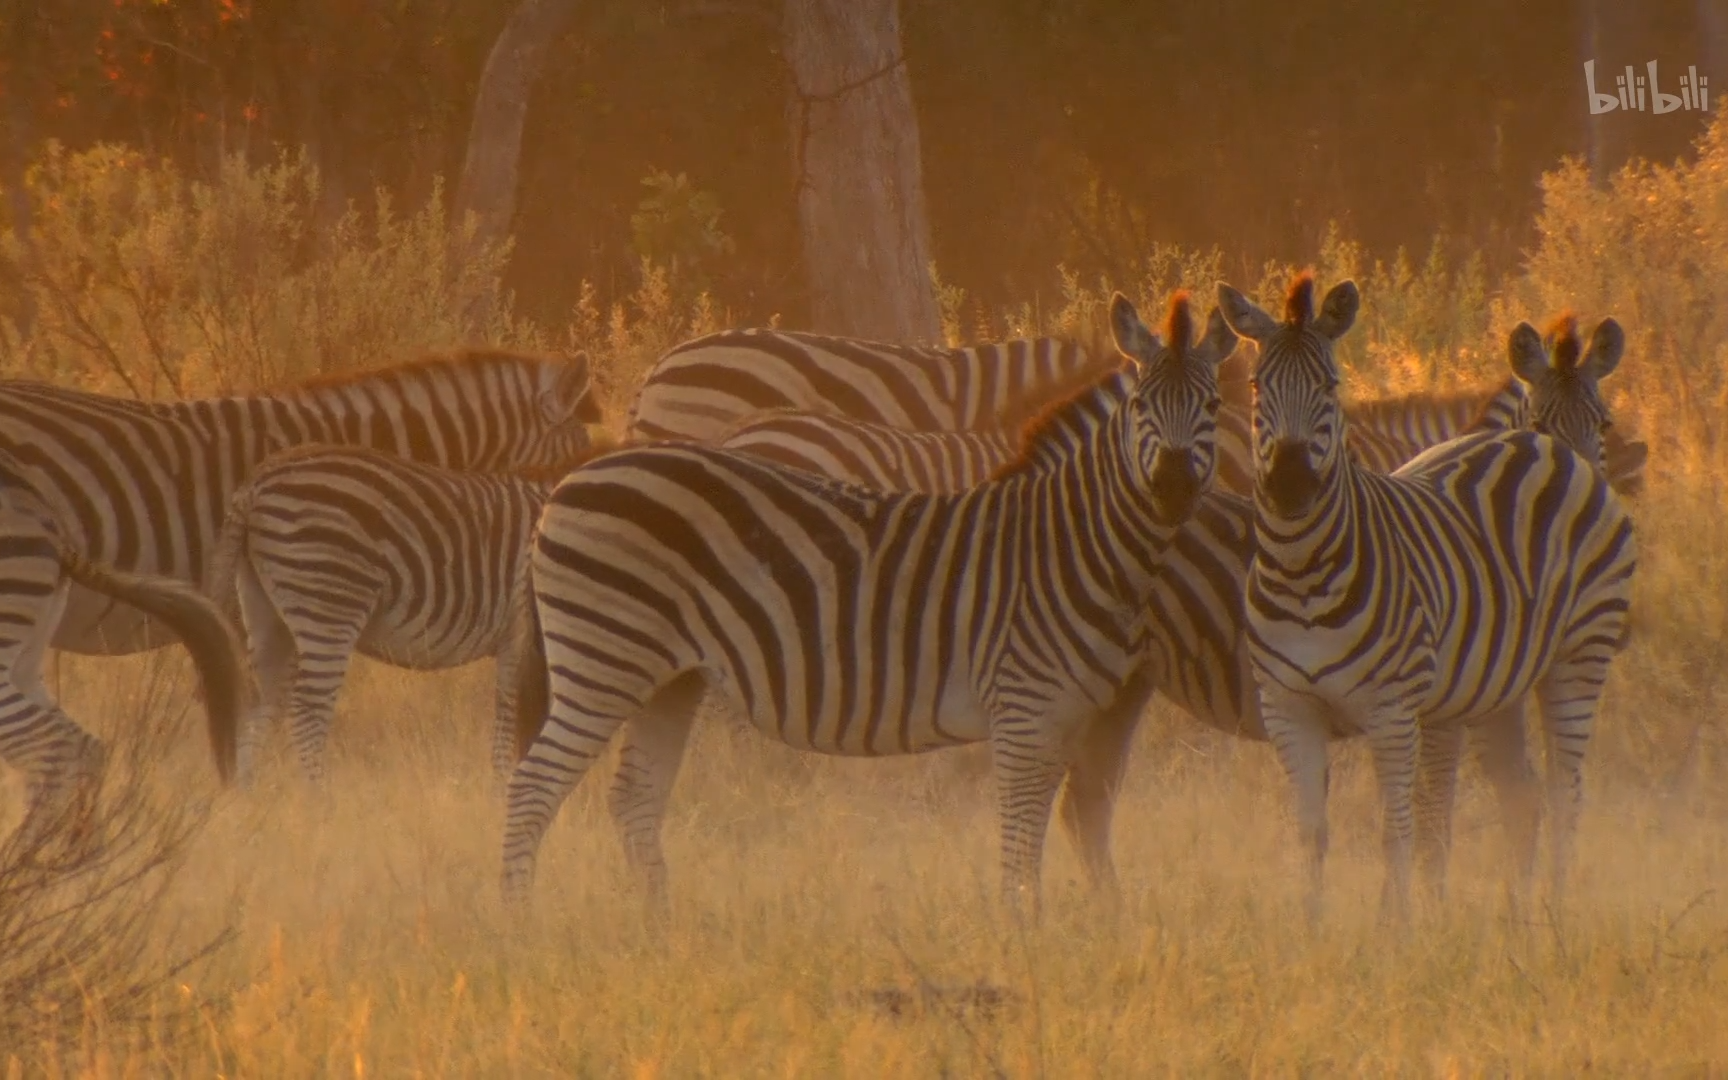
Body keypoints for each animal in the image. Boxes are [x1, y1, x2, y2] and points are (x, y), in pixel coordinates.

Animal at [207, 438, 615, 784]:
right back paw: (321, 805)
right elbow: (524, 722)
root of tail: (257, 482)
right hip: (329, 601)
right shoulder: (531, 636)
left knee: (260, 707)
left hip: (265, 610)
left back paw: (253, 801)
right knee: (307, 716)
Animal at [504, 288, 1237, 912]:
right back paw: (522, 922)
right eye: (1140, 408)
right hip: (604, 659)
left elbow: (1061, 825)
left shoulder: (1066, 715)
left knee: (633, 797)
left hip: (669, 677)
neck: (1070, 534)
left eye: (1213, 410)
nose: (1174, 487)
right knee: (533, 786)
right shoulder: (1023, 711)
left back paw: (662, 928)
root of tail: (567, 485)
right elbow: (1021, 839)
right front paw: (1021, 936)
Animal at [1223, 273, 1638, 919]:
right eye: (1255, 387)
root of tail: (1553, 455)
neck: (1302, 573)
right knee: (1523, 797)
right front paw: (1312, 926)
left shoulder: (1394, 710)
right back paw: (1516, 919)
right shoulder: (1288, 709)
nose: (1290, 487)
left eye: (1331, 386)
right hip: (1495, 684)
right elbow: (1313, 832)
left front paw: (1396, 926)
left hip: (1580, 654)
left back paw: (1554, 913)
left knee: (1566, 791)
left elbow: (1398, 826)